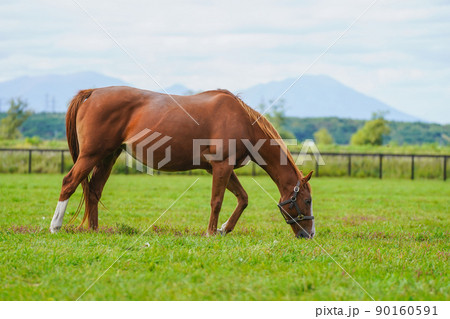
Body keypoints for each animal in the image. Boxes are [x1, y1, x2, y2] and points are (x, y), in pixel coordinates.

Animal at [49, 86, 314, 239]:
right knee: (69, 182)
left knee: (94, 190)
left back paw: (94, 230)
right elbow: (217, 201)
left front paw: (224, 228)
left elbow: (243, 198)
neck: (241, 120)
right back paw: (55, 226)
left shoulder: (220, 168)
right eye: (308, 201)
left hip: (108, 156)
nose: (309, 234)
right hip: (91, 155)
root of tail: (92, 92)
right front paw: (211, 232)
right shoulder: (222, 166)